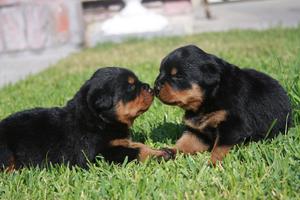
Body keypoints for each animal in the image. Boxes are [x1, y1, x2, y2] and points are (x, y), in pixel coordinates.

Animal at [0, 67, 172, 170]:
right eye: (130, 87)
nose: (149, 87)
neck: (99, 120)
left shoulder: (120, 141)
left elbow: (136, 144)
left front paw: (162, 150)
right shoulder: (97, 154)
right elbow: (136, 150)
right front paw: (161, 155)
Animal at [154, 45, 292, 164]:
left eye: (178, 76)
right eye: (160, 72)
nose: (155, 87)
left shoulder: (233, 126)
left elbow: (219, 148)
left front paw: (211, 163)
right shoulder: (197, 132)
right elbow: (185, 142)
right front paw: (168, 151)